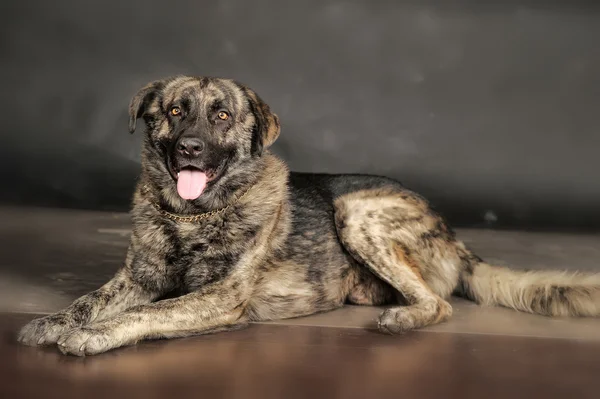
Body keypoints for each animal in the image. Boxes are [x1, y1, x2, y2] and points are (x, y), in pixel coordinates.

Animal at [17, 75, 600, 356]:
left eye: (221, 116)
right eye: (175, 111)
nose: (189, 149)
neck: (192, 217)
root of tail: (454, 237)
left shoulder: (219, 299)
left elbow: (150, 313)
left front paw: (95, 335)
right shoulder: (138, 277)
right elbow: (91, 300)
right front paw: (55, 321)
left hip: (357, 211)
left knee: (438, 304)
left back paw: (402, 317)